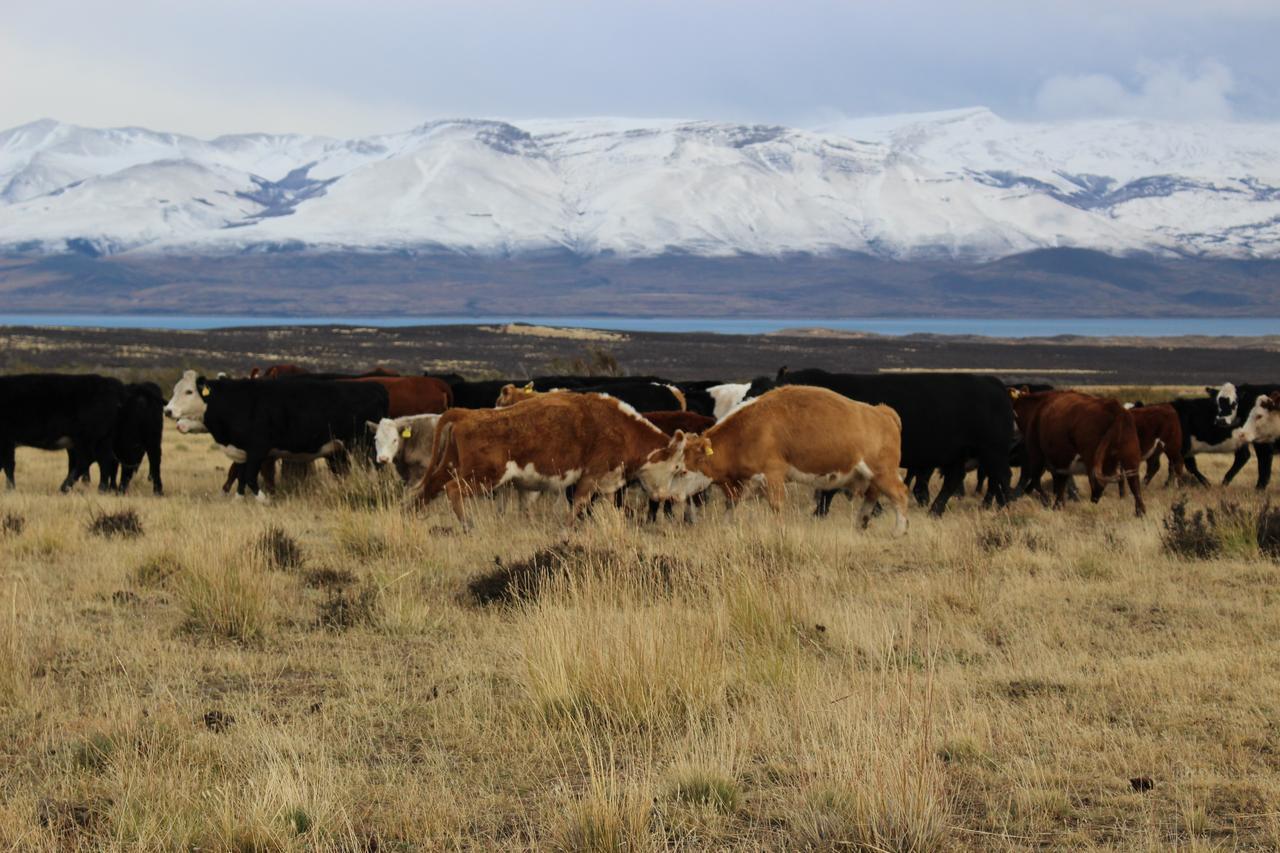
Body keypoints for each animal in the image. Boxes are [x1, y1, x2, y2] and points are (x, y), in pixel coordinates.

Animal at [670, 384, 911, 532]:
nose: (670, 496)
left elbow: (776, 506)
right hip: (871, 477)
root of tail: (883, 412)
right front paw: (726, 527)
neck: (746, 432)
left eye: (683, 470)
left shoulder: (773, 475)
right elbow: (731, 506)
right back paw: (861, 524)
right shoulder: (740, 484)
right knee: (872, 496)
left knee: (899, 494)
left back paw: (899, 531)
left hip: (883, 472)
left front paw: (779, 530)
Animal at [747, 366, 1013, 512]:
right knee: (955, 481)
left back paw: (1005, 505)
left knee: (1002, 476)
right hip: (959, 454)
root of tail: (994, 383)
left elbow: (831, 489)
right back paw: (935, 512)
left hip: (993, 450)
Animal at [1013, 389, 1146, 514]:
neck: (1037, 407)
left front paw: (1049, 503)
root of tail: (1116, 410)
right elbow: (1060, 486)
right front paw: (1057, 506)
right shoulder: (1062, 464)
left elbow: (1039, 483)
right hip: (1130, 457)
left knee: (1099, 485)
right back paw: (1140, 512)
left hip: (1092, 459)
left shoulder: (1038, 457)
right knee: (1134, 485)